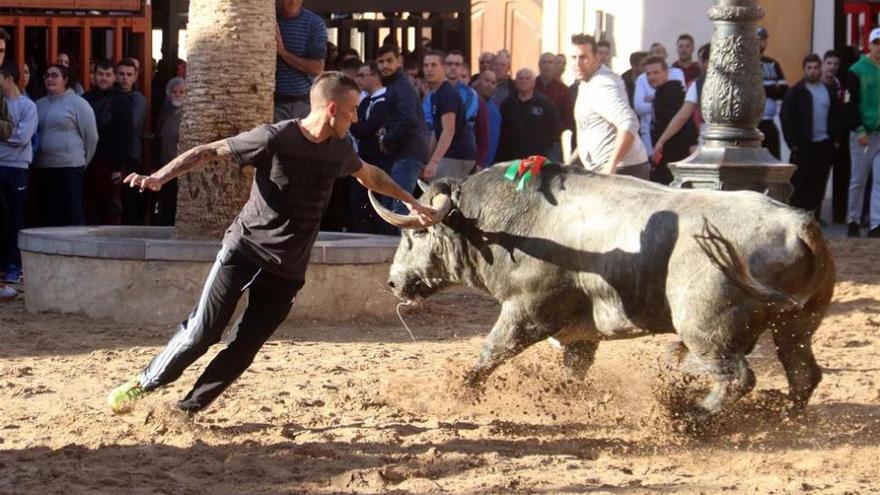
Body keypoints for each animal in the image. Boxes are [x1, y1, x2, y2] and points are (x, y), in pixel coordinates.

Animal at [368, 165, 836, 416]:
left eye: (414, 235)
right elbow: (573, 369)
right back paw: (785, 418)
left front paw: (459, 389)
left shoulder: (527, 312)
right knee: (802, 372)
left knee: (738, 376)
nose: (393, 281)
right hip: (796, 325)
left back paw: (689, 417)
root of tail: (799, 223)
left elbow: (491, 352)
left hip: (705, 330)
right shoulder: (579, 334)